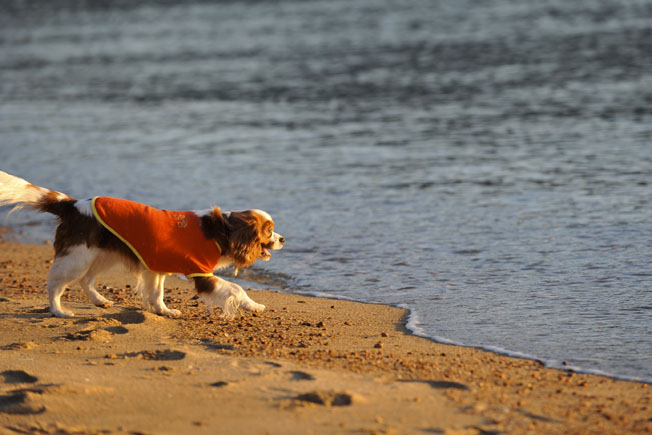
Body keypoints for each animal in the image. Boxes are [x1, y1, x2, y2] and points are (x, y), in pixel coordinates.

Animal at [0, 172, 286, 318]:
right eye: (269, 230)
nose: (283, 239)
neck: (221, 230)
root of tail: (71, 204)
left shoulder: (155, 268)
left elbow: (156, 293)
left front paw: (163, 311)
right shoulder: (201, 273)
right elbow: (237, 289)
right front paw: (254, 305)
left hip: (101, 255)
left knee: (86, 280)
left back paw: (100, 301)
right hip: (77, 257)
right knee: (56, 284)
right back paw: (58, 311)